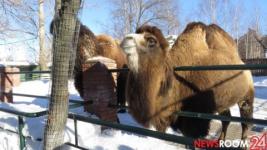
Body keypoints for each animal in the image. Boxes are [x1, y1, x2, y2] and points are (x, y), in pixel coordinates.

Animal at [121, 22, 255, 139]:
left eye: (152, 41)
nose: (125, 39)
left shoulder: (196, 120)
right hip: (223, 102)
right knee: (226, 119)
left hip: (247, 96)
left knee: (245, 122)